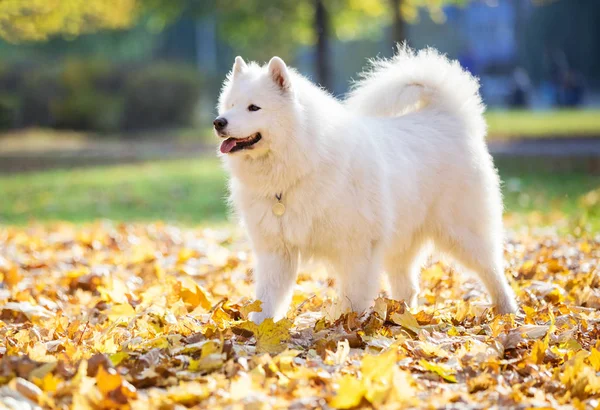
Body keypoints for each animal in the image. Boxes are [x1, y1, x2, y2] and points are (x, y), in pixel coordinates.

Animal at [217, 45, 520, 324]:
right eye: (230, 105)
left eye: (253, 107)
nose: (219, 122)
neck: (302, 162)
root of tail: (447, 117)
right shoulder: (276, 250)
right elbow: (267, 298)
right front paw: (258, 329)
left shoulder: (357, 248)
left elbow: (354, 295)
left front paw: (348, 327)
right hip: (402, 242)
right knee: (408, 288)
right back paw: (402, 318)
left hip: (464, 233)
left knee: (492, 271)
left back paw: (508, 312)